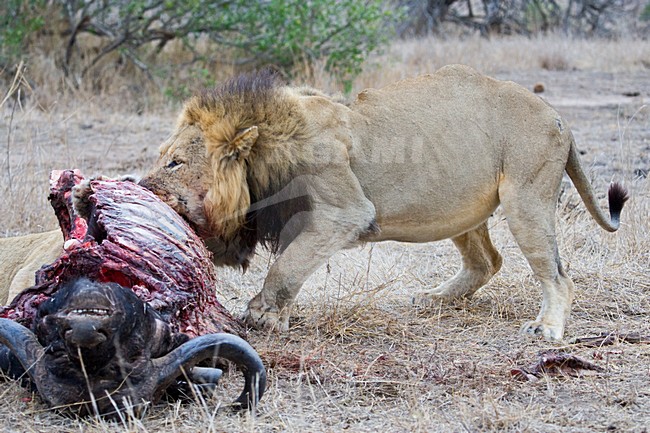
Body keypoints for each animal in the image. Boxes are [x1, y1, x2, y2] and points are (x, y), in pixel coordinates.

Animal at [139, 64, 628, 341]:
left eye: (174, 162)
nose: (140, 186)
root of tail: (557, 116)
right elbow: (292, 263)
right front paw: (277, 315)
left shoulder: (343, 212)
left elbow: (287, 266)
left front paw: (262, 315)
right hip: (461, 206)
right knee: (487, 261)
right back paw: (433, 298)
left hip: (526, 198)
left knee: (558, 276)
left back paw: (548, 329)